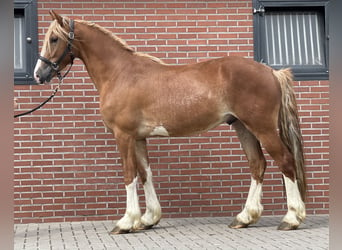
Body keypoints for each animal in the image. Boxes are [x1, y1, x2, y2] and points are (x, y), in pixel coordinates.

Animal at [35, 10, 308, 234]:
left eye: (54, 39)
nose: (39, 74)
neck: (120, 73)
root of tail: (271, 71)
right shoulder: (138, 138)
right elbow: (145, 173)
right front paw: (148, 219)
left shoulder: (123, 136)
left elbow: (129, 174)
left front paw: (126, 222)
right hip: (243, 127)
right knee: (257, 165)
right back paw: (244, 217)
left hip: (262, 128)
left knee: (285, 161)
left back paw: (291, 218)